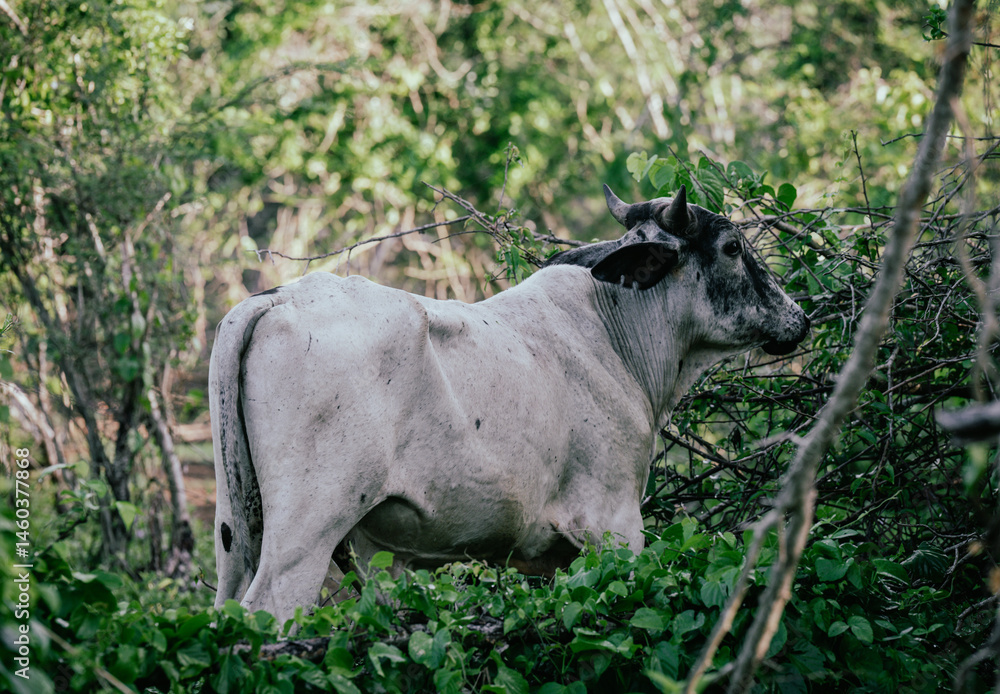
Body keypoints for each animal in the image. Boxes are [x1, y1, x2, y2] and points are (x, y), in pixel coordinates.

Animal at [209, 184, 810, 625]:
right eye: (732, 247)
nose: (799, 318)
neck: (614, 326)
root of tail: (279, 299)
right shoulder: (615, 524)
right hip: (305, 535)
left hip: (255, 541)